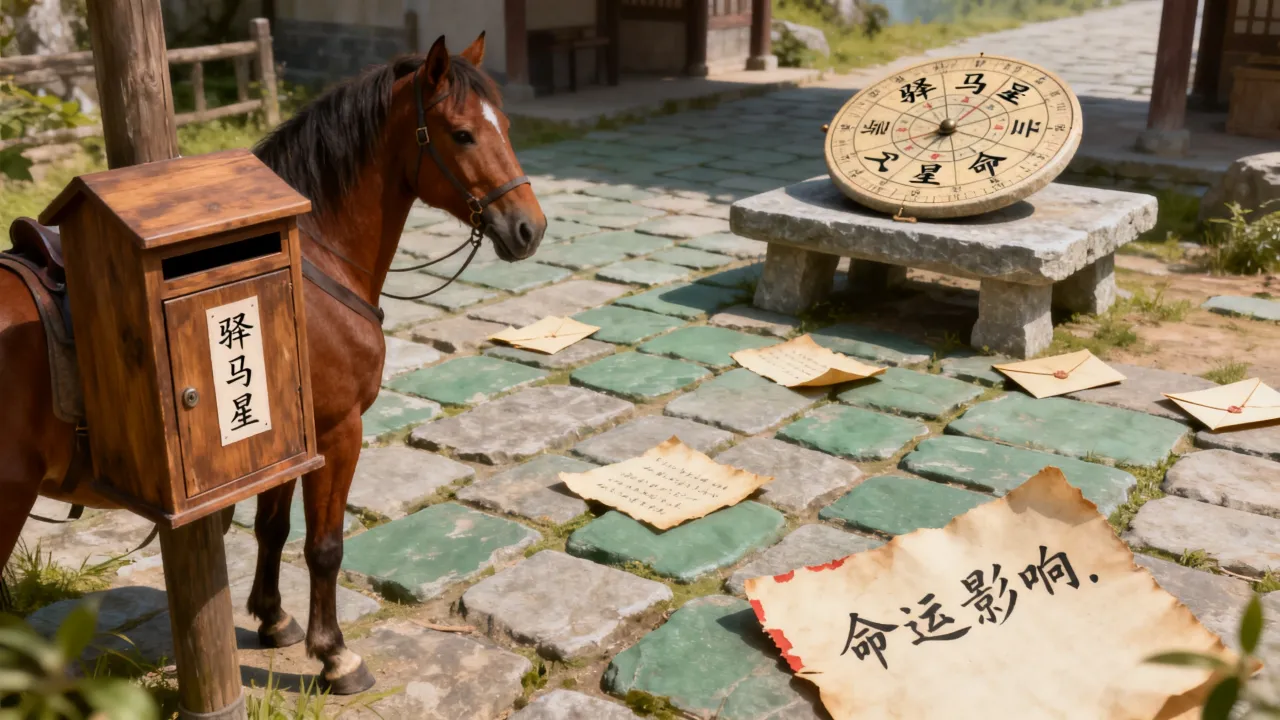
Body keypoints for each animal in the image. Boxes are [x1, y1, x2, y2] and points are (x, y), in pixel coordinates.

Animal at [0, 32, 546, 694]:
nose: (529, 227)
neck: (303, 261)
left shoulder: (284, 439)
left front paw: (272, 618)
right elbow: (324, 546)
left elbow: (272, 528)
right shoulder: (337, 432)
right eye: (463, 134)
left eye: (506, 126)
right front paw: (334, 653)